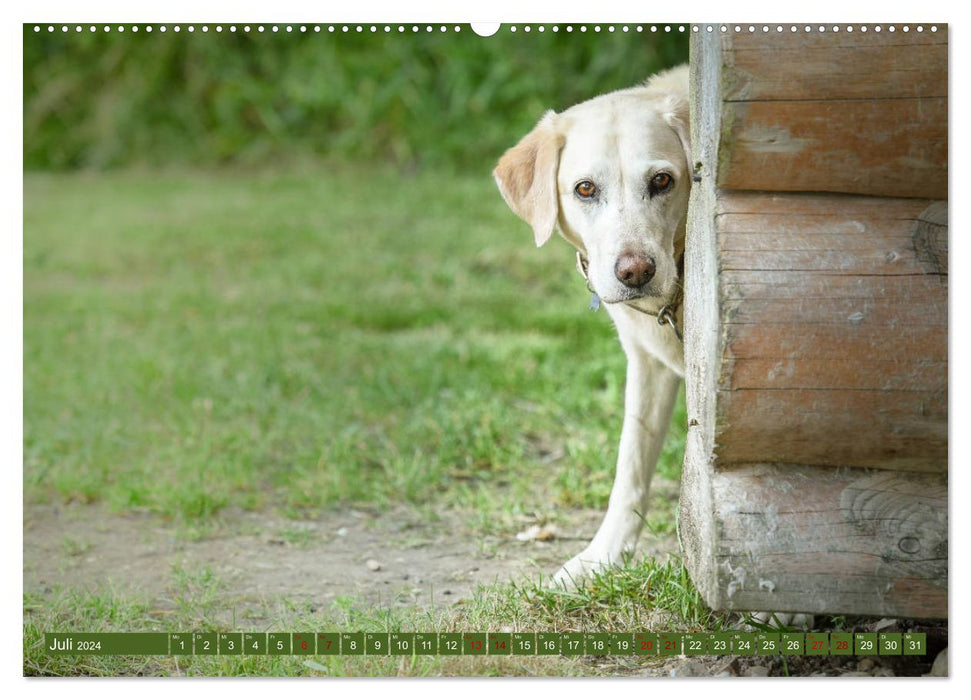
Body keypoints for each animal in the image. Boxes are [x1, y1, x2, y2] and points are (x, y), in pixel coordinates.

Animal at [498, 67, 696, 584]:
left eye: (663, 180)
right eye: (585, 189)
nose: (635, 272)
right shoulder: (648, 366)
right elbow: (631, 467)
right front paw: (602, 559)